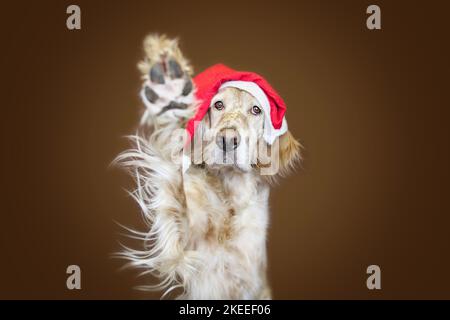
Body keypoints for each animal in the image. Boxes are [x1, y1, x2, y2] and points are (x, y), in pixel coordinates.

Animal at [114, 35, 300, 300]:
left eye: (256, 110)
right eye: (218, 105)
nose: (228, 140)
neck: (229, 196)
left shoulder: (249, 281)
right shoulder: (185, 256)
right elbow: (176, 194)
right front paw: (169, 93)